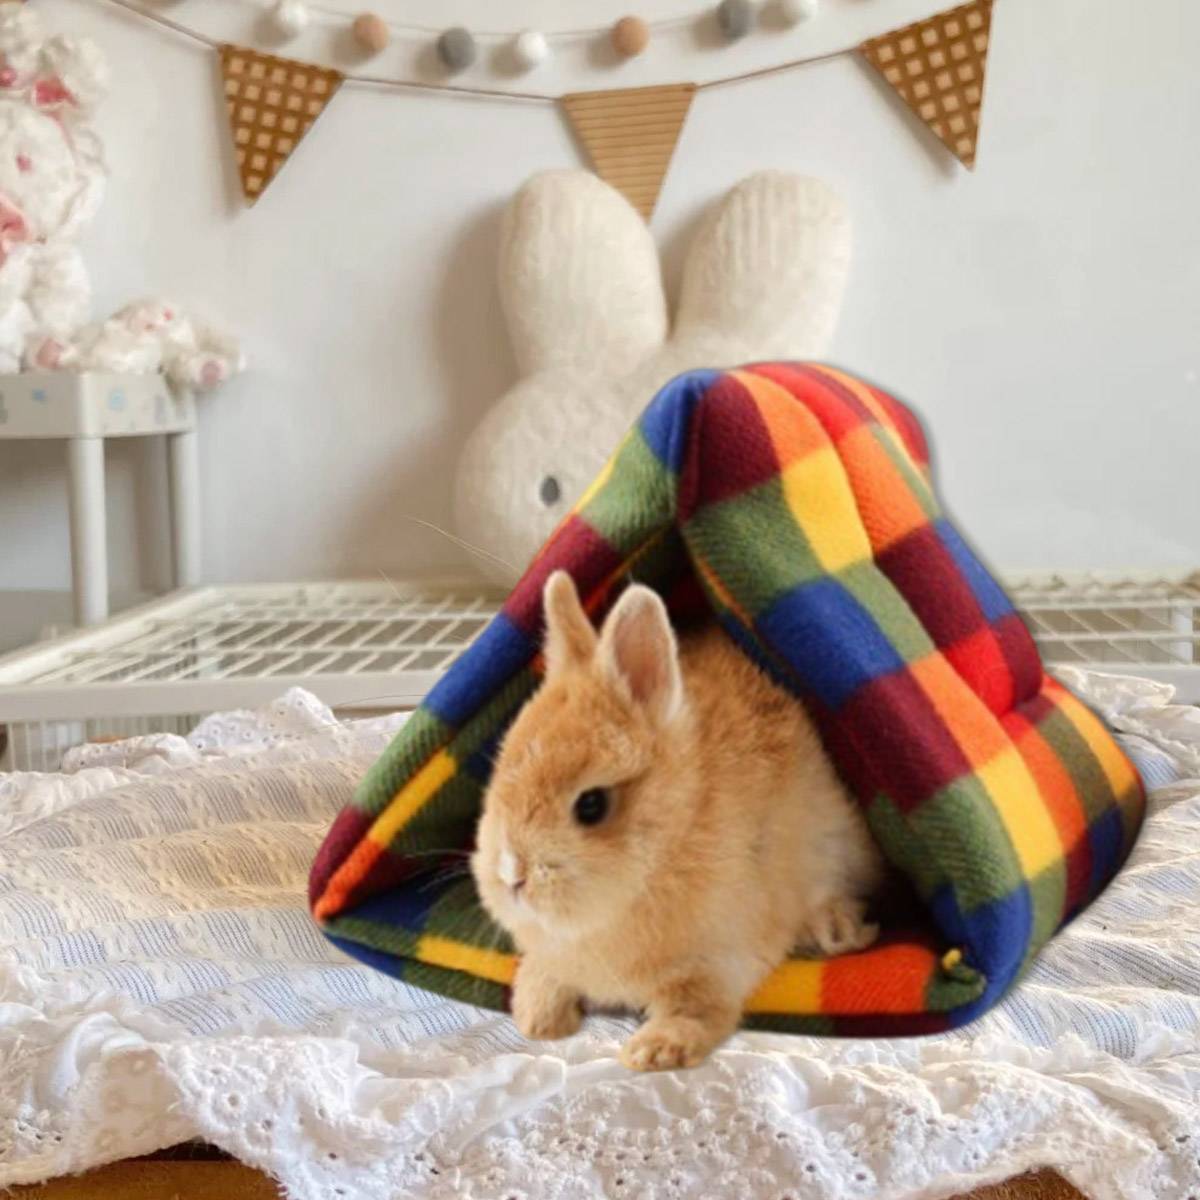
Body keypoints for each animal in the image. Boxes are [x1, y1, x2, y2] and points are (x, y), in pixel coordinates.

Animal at [471, 571, 884, 1072]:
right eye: (499, 775)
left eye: (591, 805)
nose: (512, 875)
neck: (674, 837)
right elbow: (547, 972)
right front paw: (539, 1019)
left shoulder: (718, 960)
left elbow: (699, 1007)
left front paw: (652, 1051)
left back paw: (839, 929)